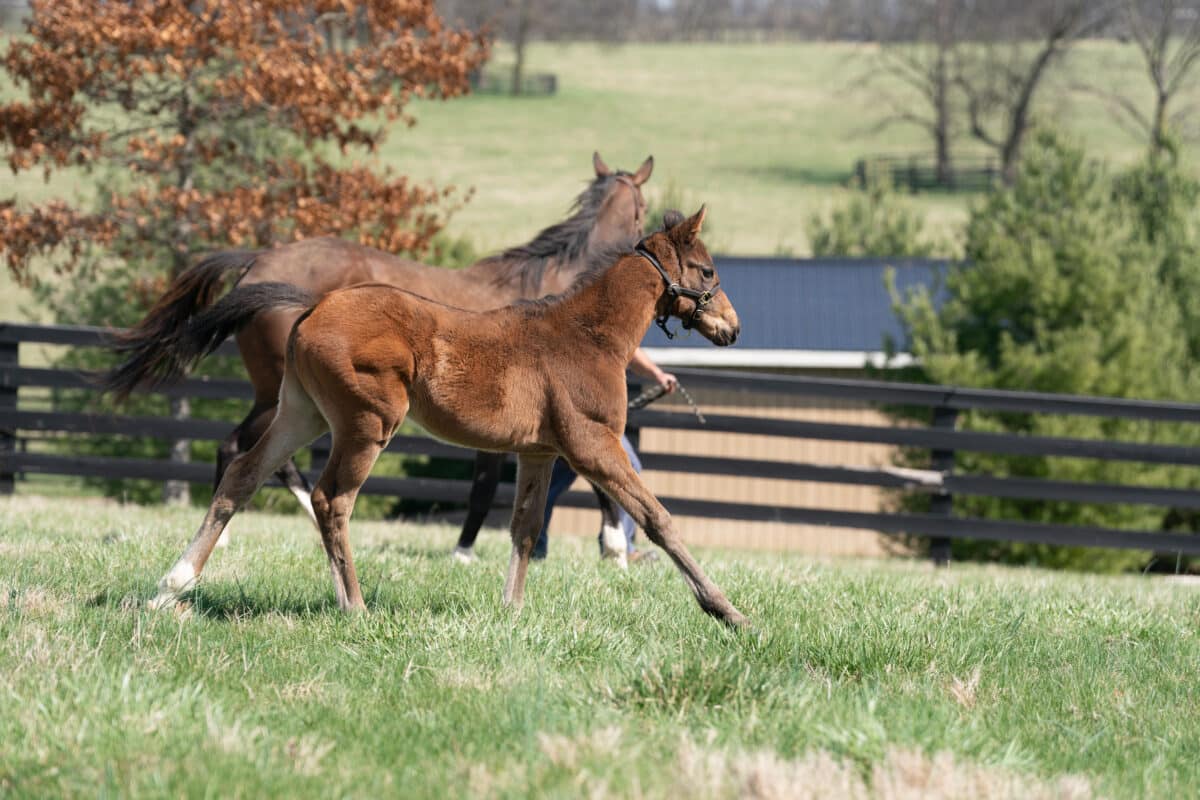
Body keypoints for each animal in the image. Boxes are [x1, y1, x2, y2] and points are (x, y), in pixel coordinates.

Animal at [102, 152, 648, 544]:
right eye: (643, 210)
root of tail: (260, 261)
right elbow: (504, 483)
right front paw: (612, 547)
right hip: (285, 391)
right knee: (242, 450)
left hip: (285, 394)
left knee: (254, 452)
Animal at [147, 209, 748, 628]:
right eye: (708, 270)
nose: (733, 327)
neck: (588, 334)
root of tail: (313, 307)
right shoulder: (592, 444)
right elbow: (656, 517)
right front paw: (725, 610)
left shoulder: (539, 451)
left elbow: (525, 527)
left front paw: (511, 611)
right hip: (367, 424)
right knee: (330, 499)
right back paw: (354, 607)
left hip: (299, 412)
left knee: (244, 474)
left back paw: (170, 586)